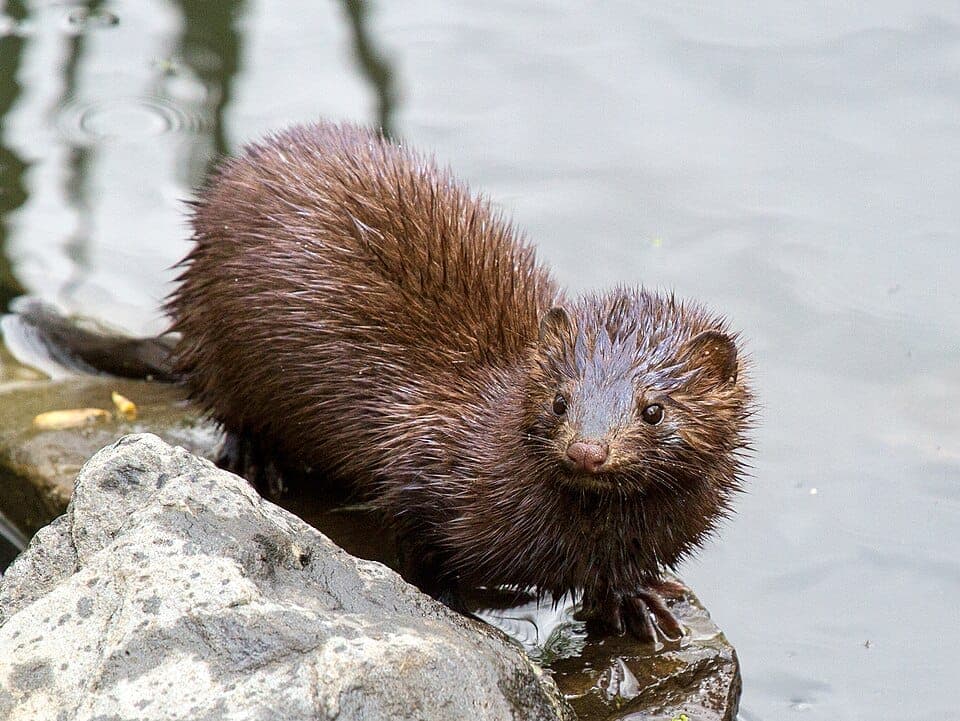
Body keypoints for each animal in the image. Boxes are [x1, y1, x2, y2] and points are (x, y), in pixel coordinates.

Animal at [17, 123, 754, 640]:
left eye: (654, 408)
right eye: (559, 399)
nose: (587, 450)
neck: (592, 531)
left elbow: (615, 579)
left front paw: (640, 602)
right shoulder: (426, 467)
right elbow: (418, 535)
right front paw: (458, 603)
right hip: (221, 335)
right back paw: (256, 455)